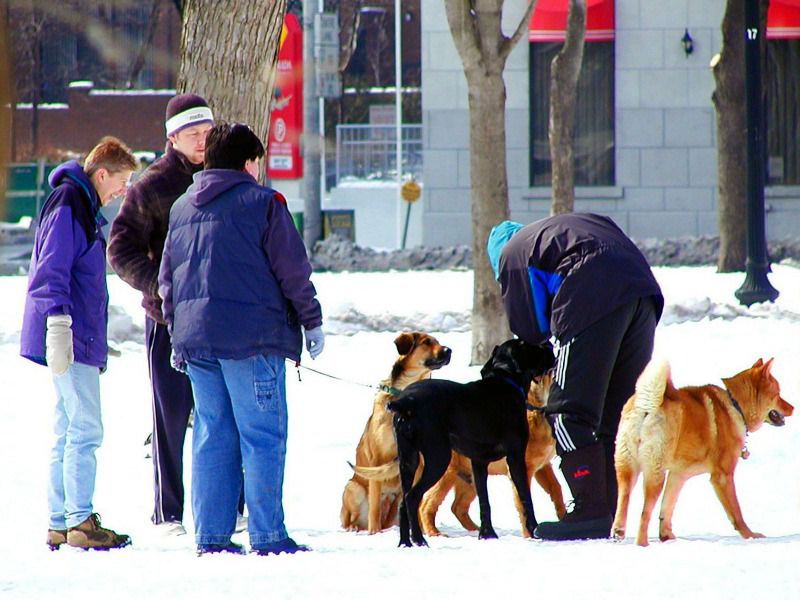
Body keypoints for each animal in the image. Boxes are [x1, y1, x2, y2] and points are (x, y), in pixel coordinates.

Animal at [340, 332, 450, 536]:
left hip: (396, 496)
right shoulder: (376, 459)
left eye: (438, 341)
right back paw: (356, 527)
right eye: (426, 342)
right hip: (354, 487)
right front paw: (374, 533)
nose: (449, 350)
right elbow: (374, 506)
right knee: (350, 518)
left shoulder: (418, 461)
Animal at [390, 340, 552, 548]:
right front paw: (533, 531)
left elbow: (484, 501)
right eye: (528, 346)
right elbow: (525, 498)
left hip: (408, 461)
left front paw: (487, 534)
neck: (505, 381)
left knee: (403, 501)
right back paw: (419, 540)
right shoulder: (516, 458)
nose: (549, 346)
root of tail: (405, 403)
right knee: (412, 497)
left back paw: (405, 543)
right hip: (438, 457)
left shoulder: (478, 462)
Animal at [612, 358, 792, 548]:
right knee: (644, 512)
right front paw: (750, 535)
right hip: (655, 472)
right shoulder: (723, 476)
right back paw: (641, 543)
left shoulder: (678, 475)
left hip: (627, 467)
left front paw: (667, 536)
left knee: (623, 499)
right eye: (778, 394)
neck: (735, 404)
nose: (793, 408)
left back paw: (618, 533)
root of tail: (646, 406)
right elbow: (736, 513)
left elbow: (667, 507)